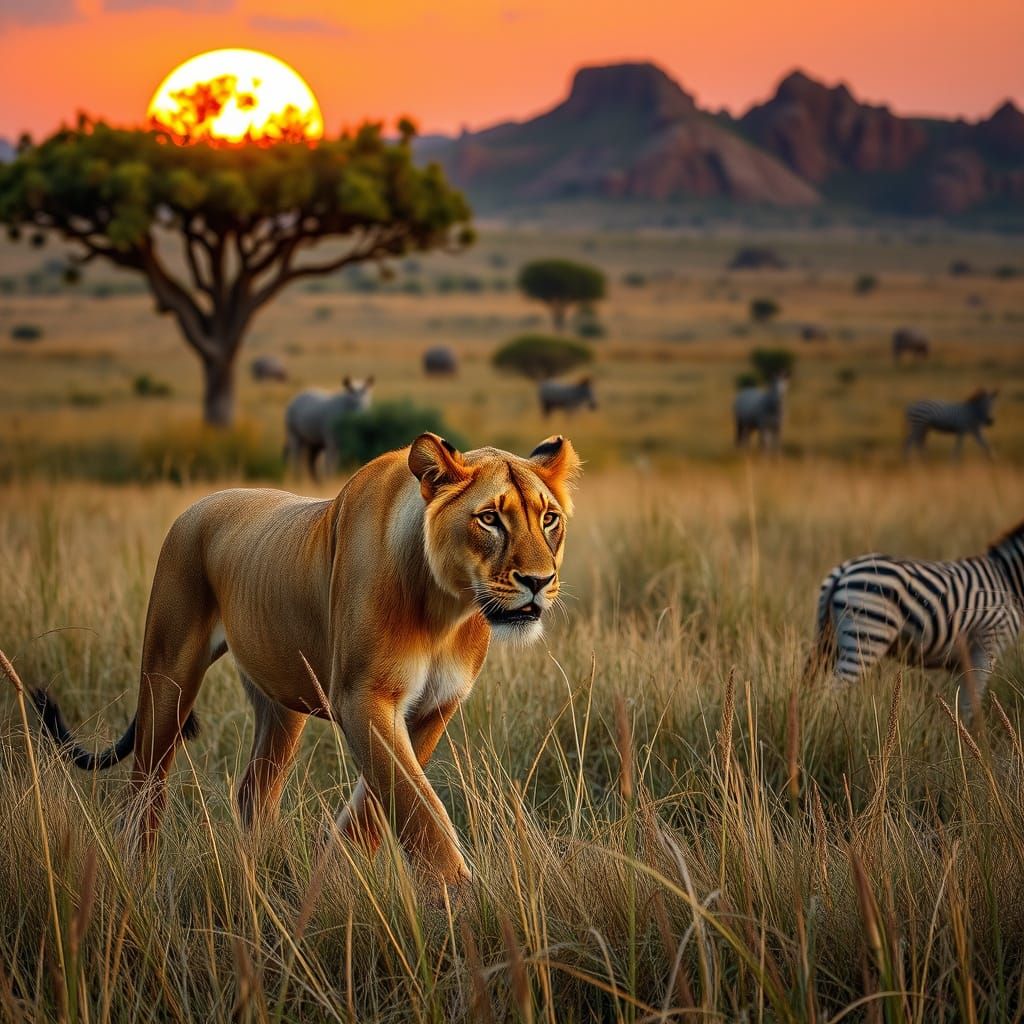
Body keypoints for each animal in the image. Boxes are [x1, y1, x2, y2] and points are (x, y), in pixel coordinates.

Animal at [33, 432, 580, 888]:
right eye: (490, 518)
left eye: (548, 518)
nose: (539, 581)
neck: (447, 607)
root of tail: (201, 503)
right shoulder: (362, 697)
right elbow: (419, 810)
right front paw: (460, 899)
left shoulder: (433, 709)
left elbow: (377, 808)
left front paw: (332, 880)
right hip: (168, 674)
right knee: (145, 787)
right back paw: (138, 874)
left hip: (280, 702)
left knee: (253, 791)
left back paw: (258, 873)